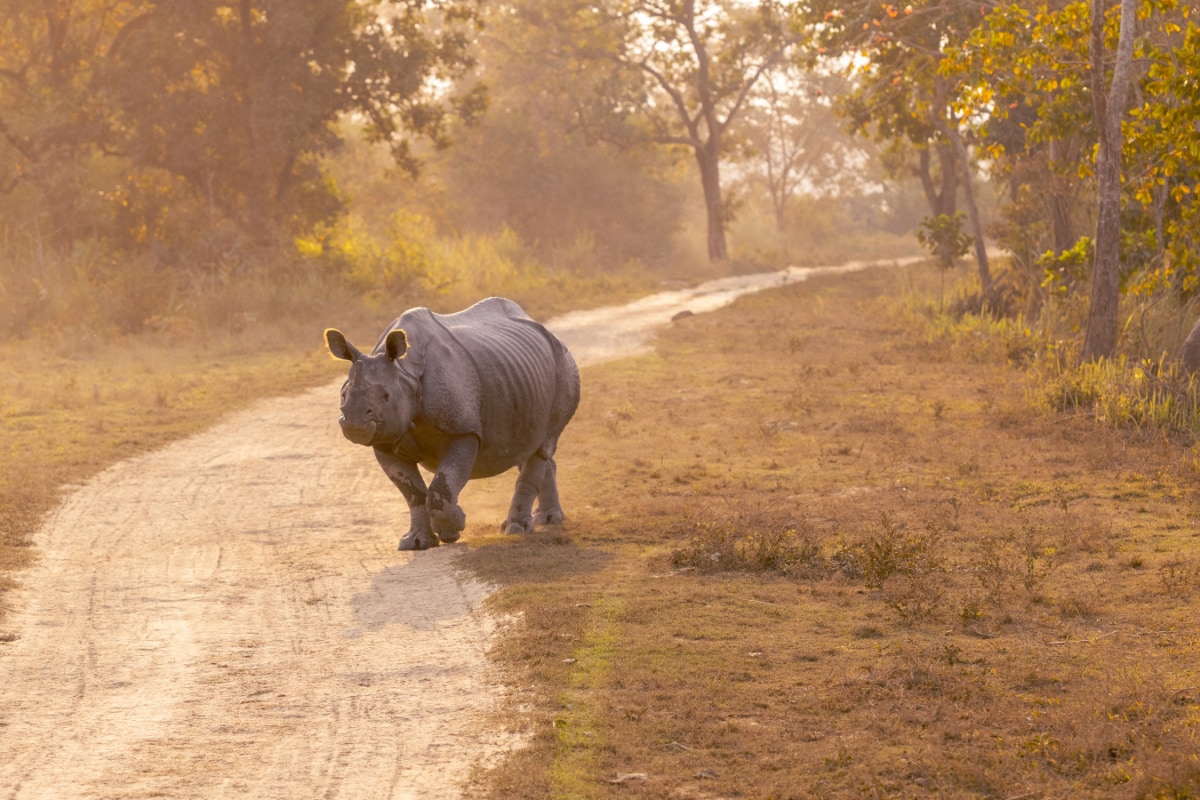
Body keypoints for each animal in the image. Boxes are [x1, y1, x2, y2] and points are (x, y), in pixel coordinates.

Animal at [324, 297, 581, 550]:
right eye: (343, 395)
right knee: (530, 445)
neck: (405, 373)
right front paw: (416, 543)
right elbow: (413, 493)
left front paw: (455, 526)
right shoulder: (385, 439)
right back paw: (547, 519)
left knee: (543, 443)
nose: (354, 423)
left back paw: (517, 528)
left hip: (564, 364)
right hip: (521, 377)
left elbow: (440, 489)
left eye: (386, 396)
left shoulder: (463, 430)